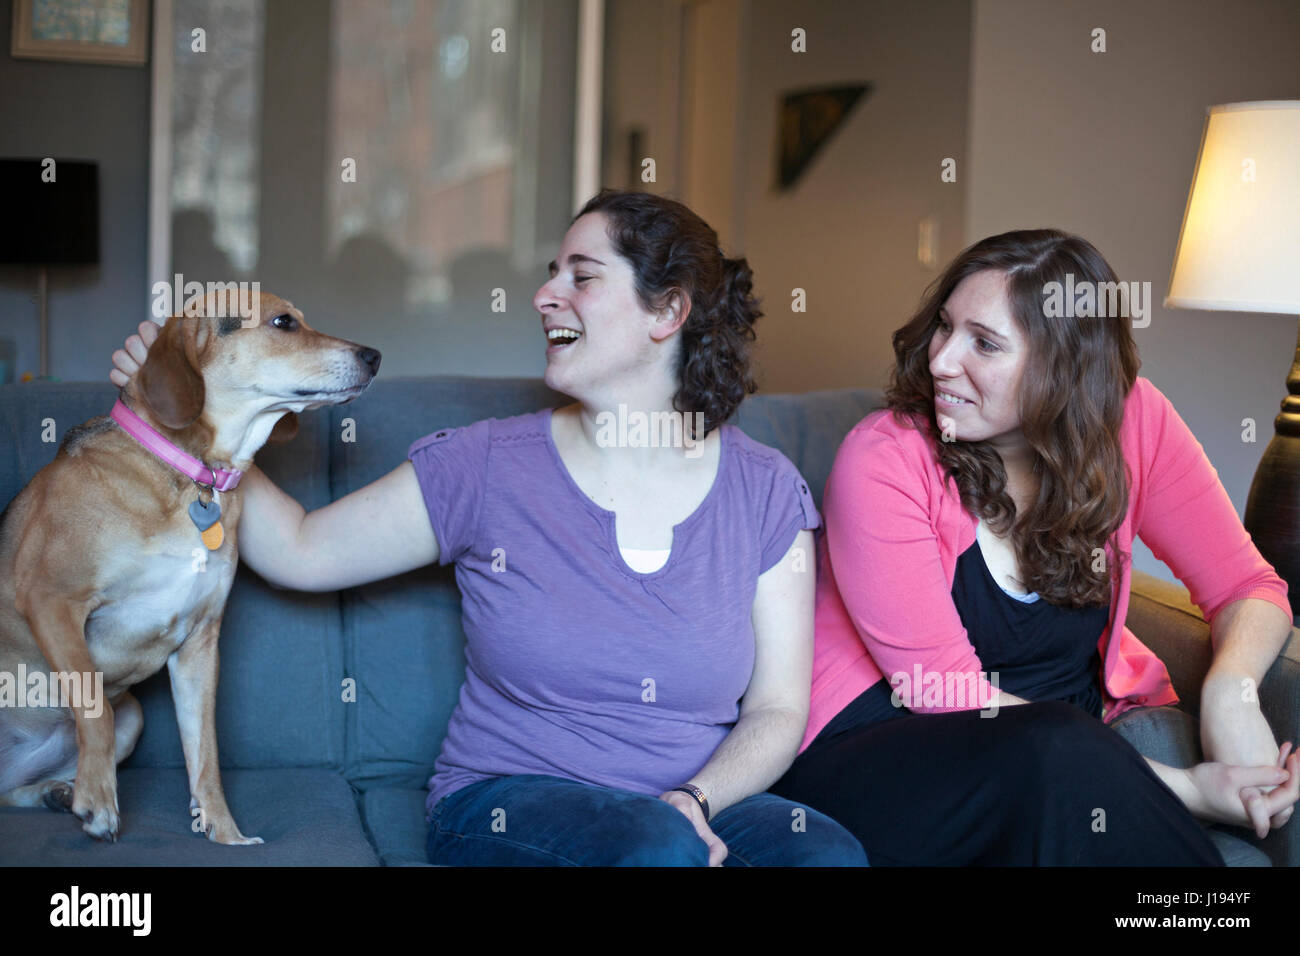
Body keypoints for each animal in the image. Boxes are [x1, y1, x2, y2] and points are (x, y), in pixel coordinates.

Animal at [0, 291, 379, 842]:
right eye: (283, 322)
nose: (375, 356)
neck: (191, 475)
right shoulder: (51, 600)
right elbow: (94, 707)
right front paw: (99, 801)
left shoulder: (199, 645)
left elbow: (206, 754)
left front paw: (225, 834)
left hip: (134, 716)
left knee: (9, 792)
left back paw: (54, 791)